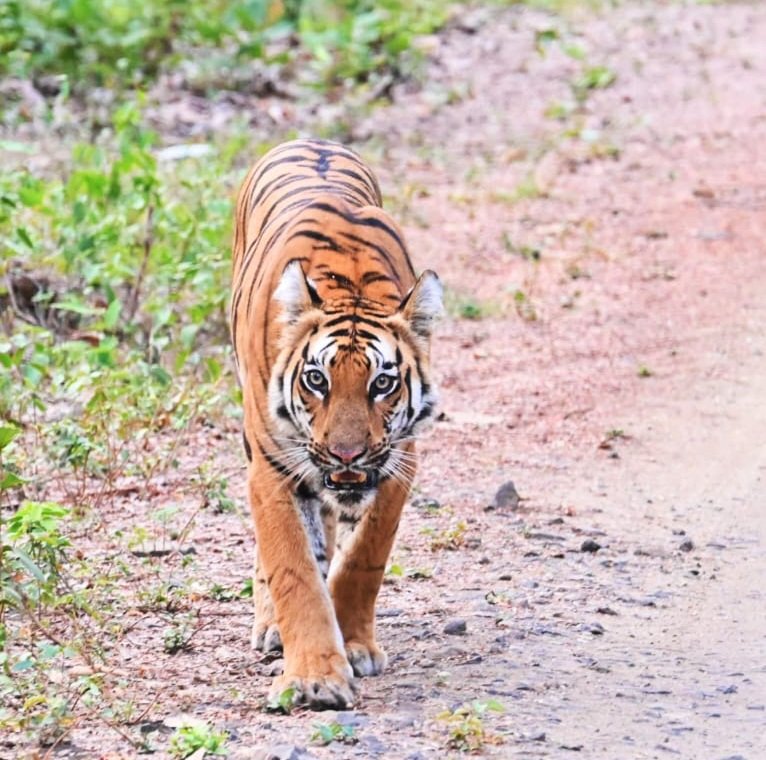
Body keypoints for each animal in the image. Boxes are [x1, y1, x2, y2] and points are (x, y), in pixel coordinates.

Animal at [230, 138, 442, 710]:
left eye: (382, 383)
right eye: (316, 380)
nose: (347, 454)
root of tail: (310, 140)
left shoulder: (399, 460)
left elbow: (367, 554)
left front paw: (354, 642)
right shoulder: (273, 468)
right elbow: (293, 569)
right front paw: (316, 678)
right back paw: (270, 627)